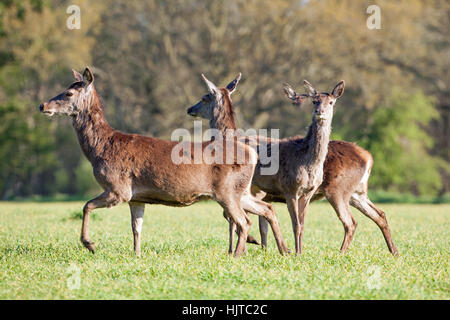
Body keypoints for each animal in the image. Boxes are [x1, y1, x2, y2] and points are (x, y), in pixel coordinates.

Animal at [38, 67, 288, 258]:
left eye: (69, 93)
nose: (42, 106)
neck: (100, 150)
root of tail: (252, 154)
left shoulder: (119, 188)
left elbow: (86, 205)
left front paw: (89, 244)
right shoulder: (136, 197)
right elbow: (136, 228)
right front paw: (137, 254)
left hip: (226, 191)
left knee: (244, 221)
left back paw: (237, 255)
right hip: (241, 190)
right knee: (266, 209)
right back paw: (284, 250)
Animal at [188, 74, 400, 256]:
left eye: (205, 97)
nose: (190, 109)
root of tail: (369, 157)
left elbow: (238, 217)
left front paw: (247, 247)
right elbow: (260, 221)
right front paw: (262, 248)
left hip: (338, 189)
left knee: (351, 222)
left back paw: (341, 253)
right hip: (358, 192)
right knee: (380, 214)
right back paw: (394, 251)